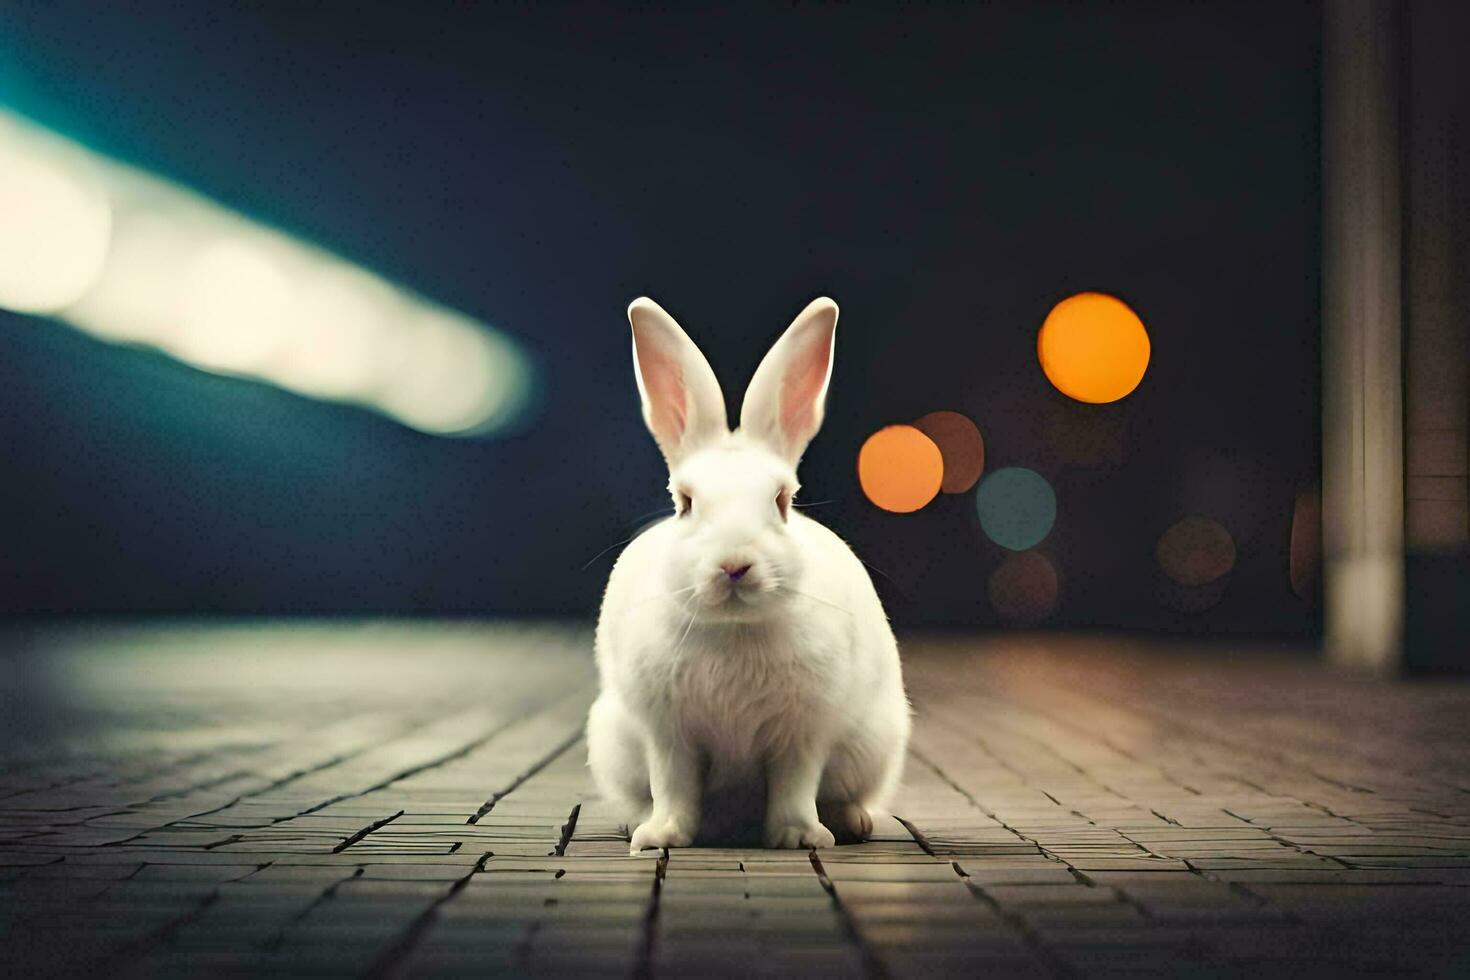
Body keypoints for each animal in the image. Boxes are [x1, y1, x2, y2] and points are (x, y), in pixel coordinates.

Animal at [585, 293, 905, 852]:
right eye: (685, 502)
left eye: (782, 499)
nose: (734, 563)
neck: (734, 629)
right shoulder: (667, 734)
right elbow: (672, 785)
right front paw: (661, 836)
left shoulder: (803, 733)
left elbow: (796, 785)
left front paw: (799, 837)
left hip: (873, 744)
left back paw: (852, 822)